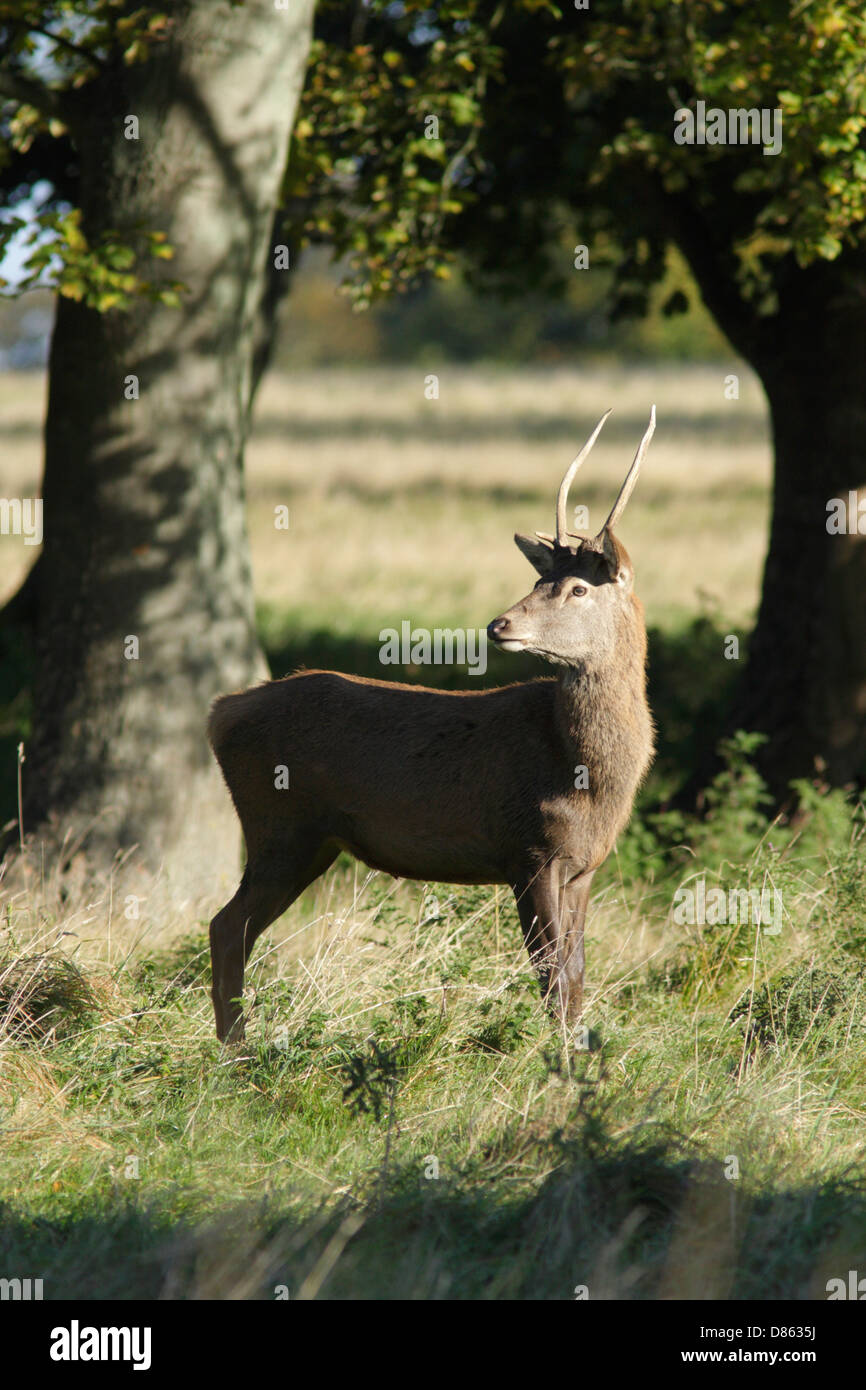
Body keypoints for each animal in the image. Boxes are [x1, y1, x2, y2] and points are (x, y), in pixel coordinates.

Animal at [207, 407, 656, 1043]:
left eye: (576, 588)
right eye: (539, 582)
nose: (500, 624)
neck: (586, 773)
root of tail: (219, 713)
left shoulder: (582, 868)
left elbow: (575, 984)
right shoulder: (529, 851)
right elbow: (553, 984)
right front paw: (557, 1062)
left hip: (309, 839)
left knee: (232, 928)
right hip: (280, 826)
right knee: (228, 927)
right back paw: (239, 1051)